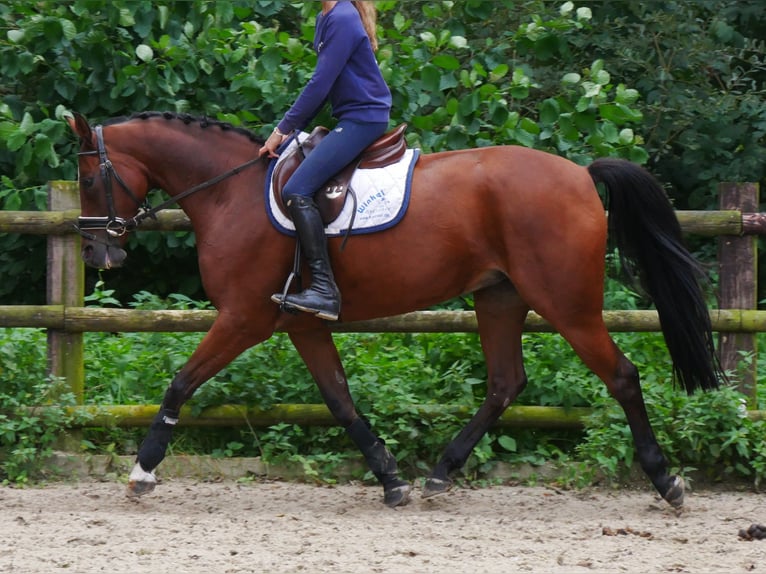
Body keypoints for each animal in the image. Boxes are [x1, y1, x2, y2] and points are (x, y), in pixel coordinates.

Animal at [69, 111, 724, 508]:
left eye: (86, 177)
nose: (99, 252)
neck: (231, 193)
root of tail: (582, 176)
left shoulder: (243, 319)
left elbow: (181, 382)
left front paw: (143, 470)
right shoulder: (301, 324)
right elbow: (340, 401)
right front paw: (390, 478)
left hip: (567, 304)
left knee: (622, 377)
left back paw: (666, 480)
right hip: (500, 297)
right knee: (505, 383)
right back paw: (441, 472)